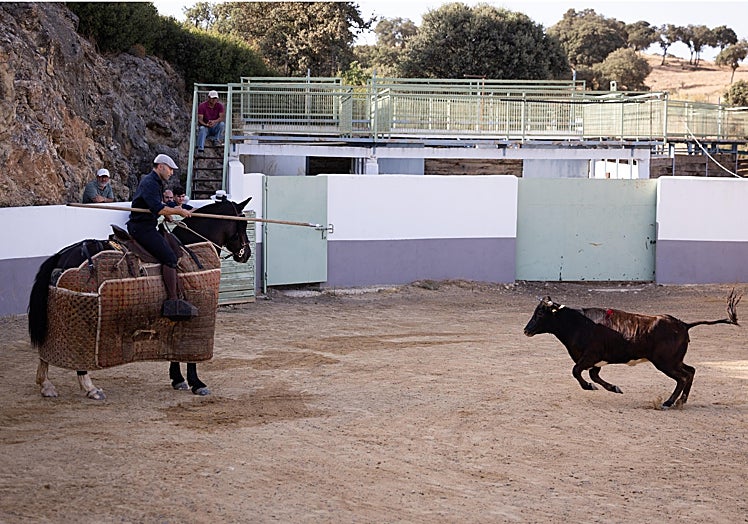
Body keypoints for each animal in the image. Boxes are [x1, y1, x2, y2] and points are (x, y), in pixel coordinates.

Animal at [28, 197, 252, 400]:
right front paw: (197, 383)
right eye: (243, 223)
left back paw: (46, 385)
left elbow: (174, 347)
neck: (191, 245)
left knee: (47, 346)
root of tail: (62, 255)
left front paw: (178, 379)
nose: (247, 253)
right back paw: (91, 388)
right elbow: (191, 352)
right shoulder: (199, 313)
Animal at [523, 290, 741, 409]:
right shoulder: (597, 360)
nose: (526, 330)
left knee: (683, 377)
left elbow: (577, 371)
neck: (578, 323)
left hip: (665, 362)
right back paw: (680, 402)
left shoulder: (590, 356)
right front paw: (614, 388)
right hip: (674, 360)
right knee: (691, 371)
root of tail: (683, 324)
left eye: (541, 313)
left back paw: (668, 403)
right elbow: (594, 375)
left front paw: (590, 387)